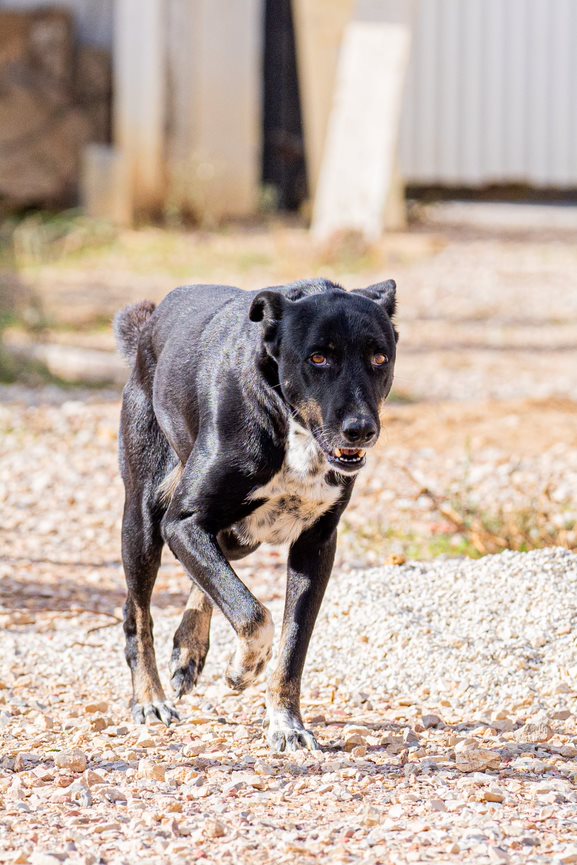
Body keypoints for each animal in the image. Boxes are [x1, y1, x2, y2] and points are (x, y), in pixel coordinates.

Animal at [115, 276, 398, 748]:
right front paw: (242, 669)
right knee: (138, 615)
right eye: (318, 357)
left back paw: (188, 651)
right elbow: (253, 614)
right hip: (145, 520)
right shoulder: (183, 522)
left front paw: (287, 724)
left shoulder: (316, 544)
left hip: (237, 534)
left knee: (209, 574)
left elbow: (291, 646)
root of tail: (147, 326)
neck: (290, 423)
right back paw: (149, 698)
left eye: (380, 357)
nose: (361, 430)